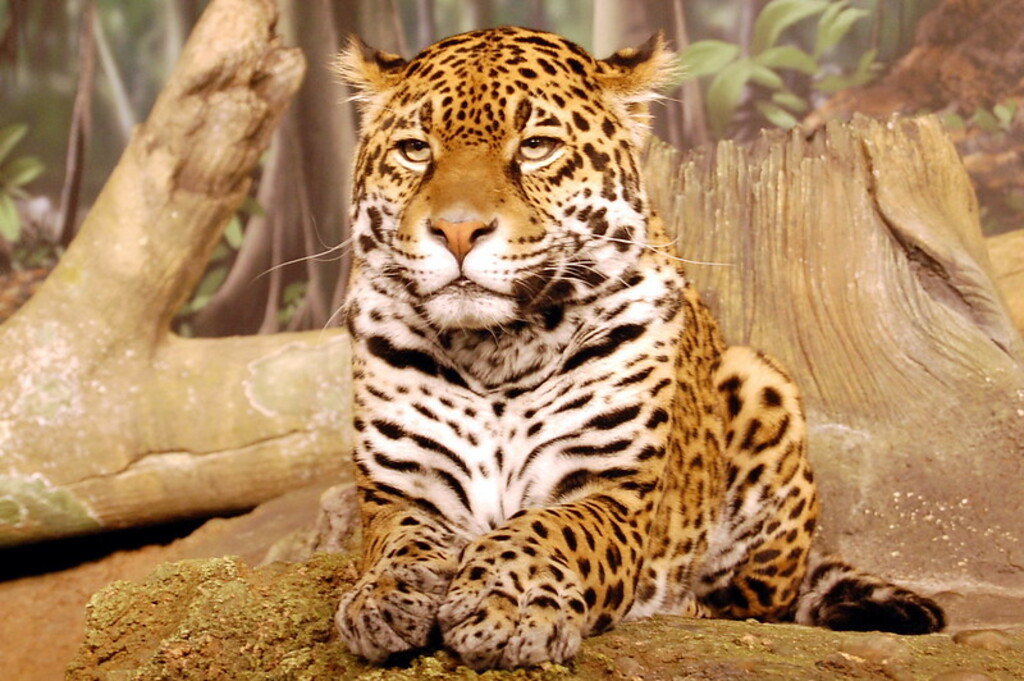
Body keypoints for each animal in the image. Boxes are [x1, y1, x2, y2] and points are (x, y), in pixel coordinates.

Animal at [333, 26, 945, 670]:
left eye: (537, 147)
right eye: (414, 150)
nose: (455, 231)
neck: (497, 350)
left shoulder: (613, 491)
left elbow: (546, 530)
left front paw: (509, 604)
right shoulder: (398, 489)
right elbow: (398, 540)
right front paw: (383, 596)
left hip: (761, 380)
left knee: (751, 602)